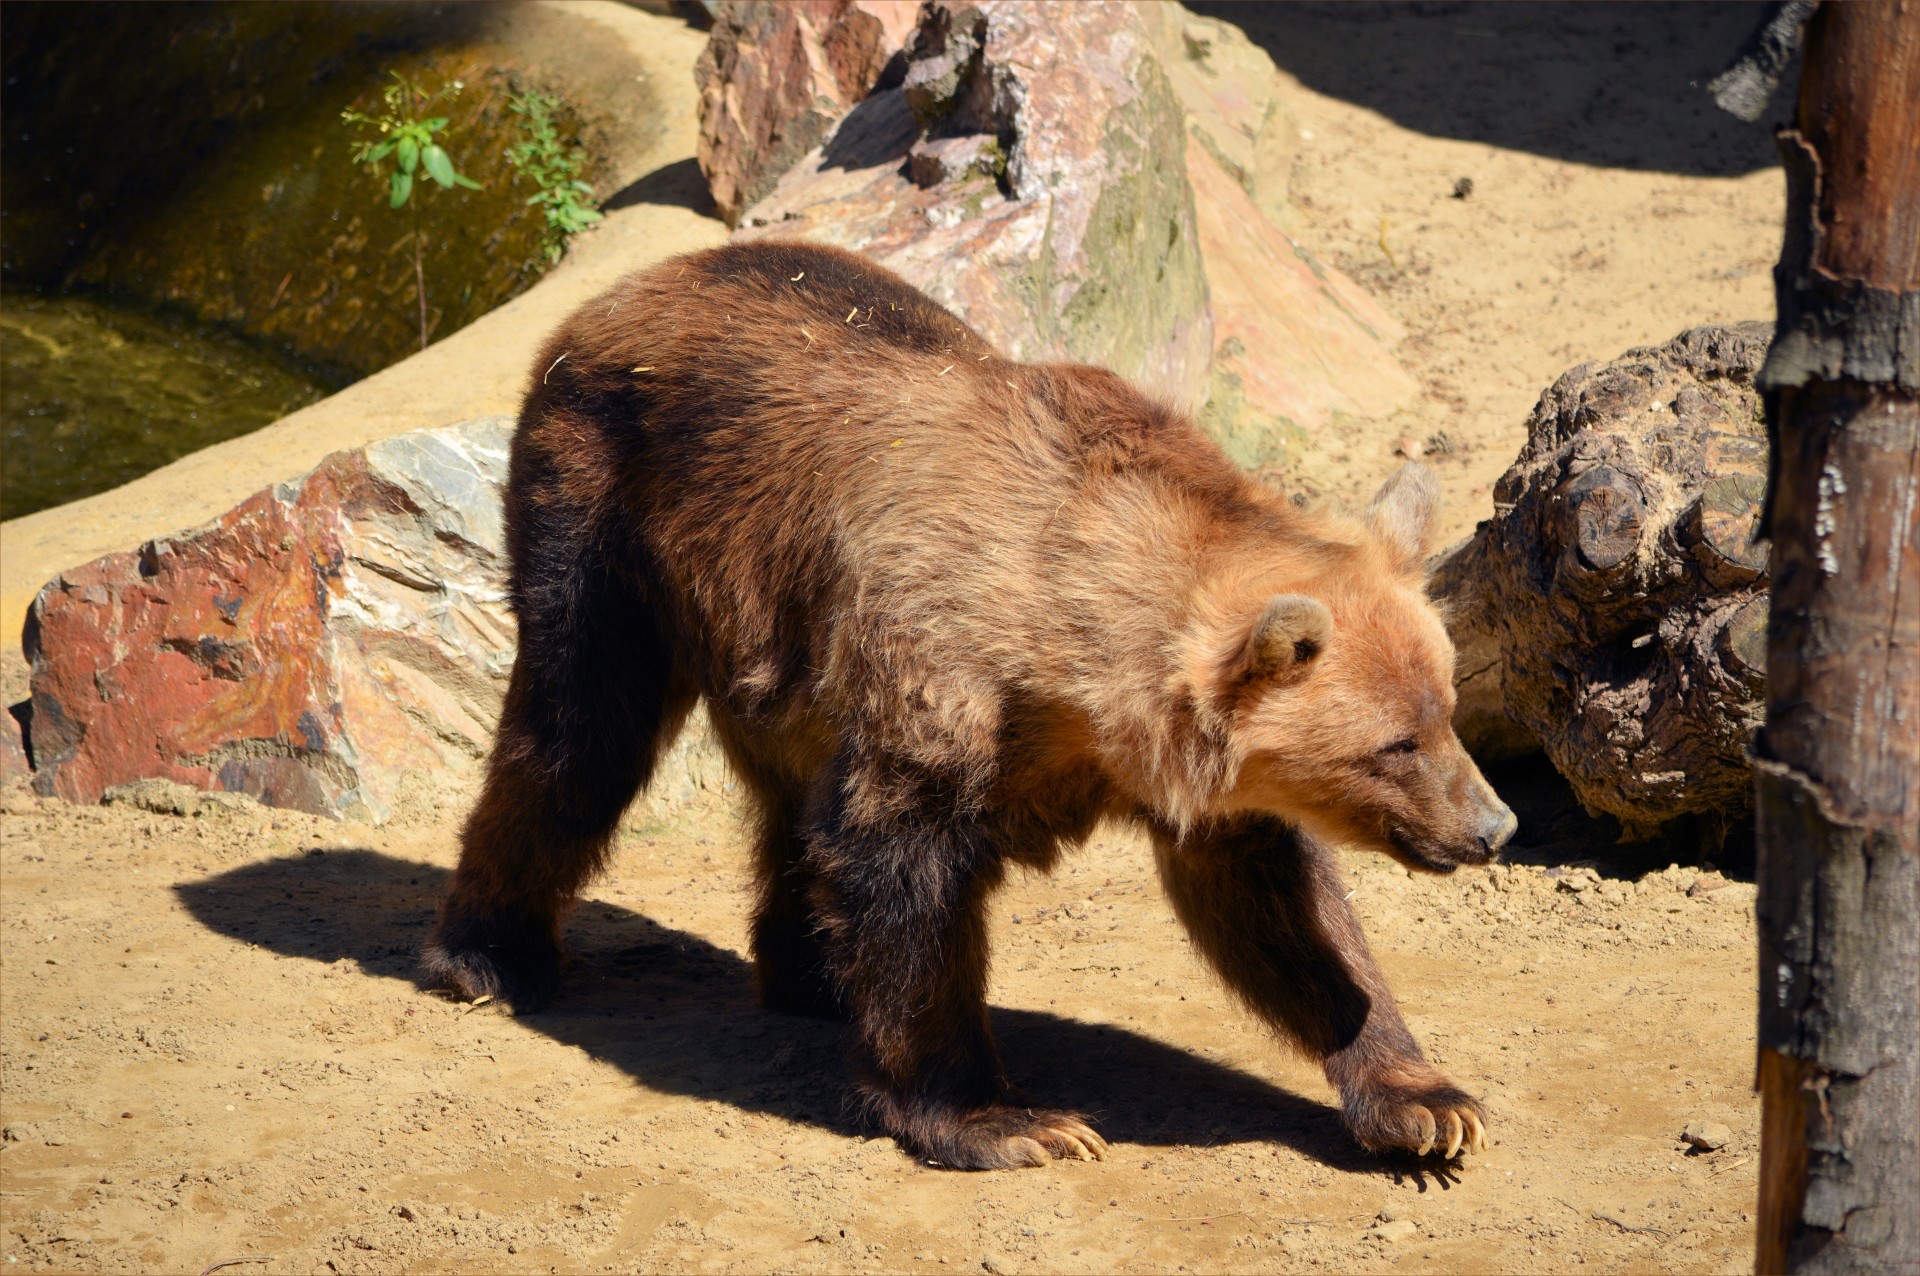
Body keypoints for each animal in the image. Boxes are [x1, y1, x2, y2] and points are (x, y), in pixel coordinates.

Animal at [428, 236, 1520, 1166]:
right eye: (1395, 744)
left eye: (1447, 705)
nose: (1493, 825)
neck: (1069, 659)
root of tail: (622, 287)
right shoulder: (938, 682)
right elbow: (904, 873)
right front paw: (1011, 1119)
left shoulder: (1193, 780)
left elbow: (1288, 912)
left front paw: (1426, 1103)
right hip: (609, 508)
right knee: (577, 731)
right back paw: (487, 955)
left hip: (773, 641)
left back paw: (811, 975)